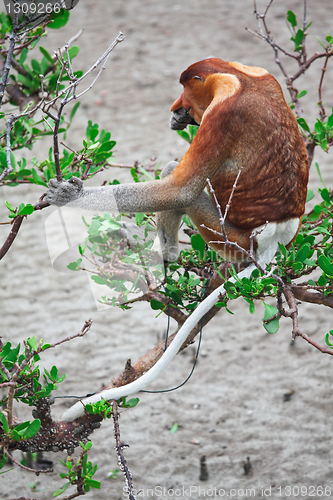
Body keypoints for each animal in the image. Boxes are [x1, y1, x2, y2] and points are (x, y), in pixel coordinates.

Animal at [45, 58, 308, 422]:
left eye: (185, 90)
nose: (176, 109)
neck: (237, 76)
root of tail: (276, 234)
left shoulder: (222, 115)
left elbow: (178, 190)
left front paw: (70, 195)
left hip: (228, 236)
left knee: (180, 182)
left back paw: (163, 256)